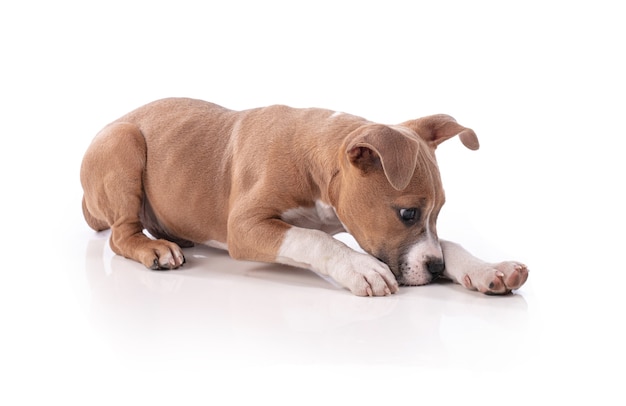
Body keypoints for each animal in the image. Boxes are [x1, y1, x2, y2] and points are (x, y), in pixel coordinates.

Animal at [79, 97, 528, 294]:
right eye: (407, 214)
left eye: (437, 213)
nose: (435, 270)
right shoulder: (246, 226)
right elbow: (313, 238)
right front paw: (359, 267)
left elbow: (448, 243)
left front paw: (487, 268)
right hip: (124, 144)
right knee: (121, 234)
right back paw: (154, 248)